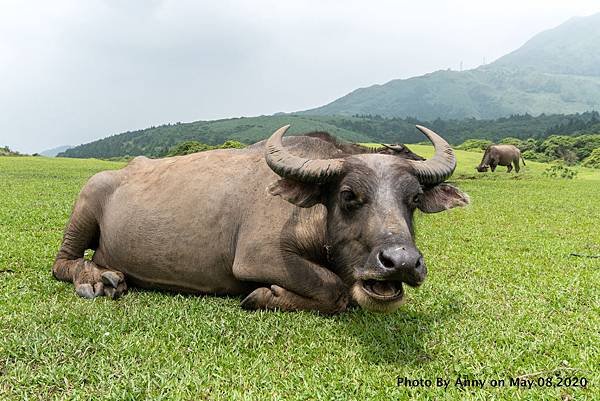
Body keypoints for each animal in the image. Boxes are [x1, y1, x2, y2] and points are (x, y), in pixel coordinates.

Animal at [54, 125, 468, 312]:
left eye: (414, 199)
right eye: (349, 196)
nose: (401, 262)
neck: (309, 216)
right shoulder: (258, 256)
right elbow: (334, 289)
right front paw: (264, 294)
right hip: (87, 201)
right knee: (63, 263)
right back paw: (98, 280)